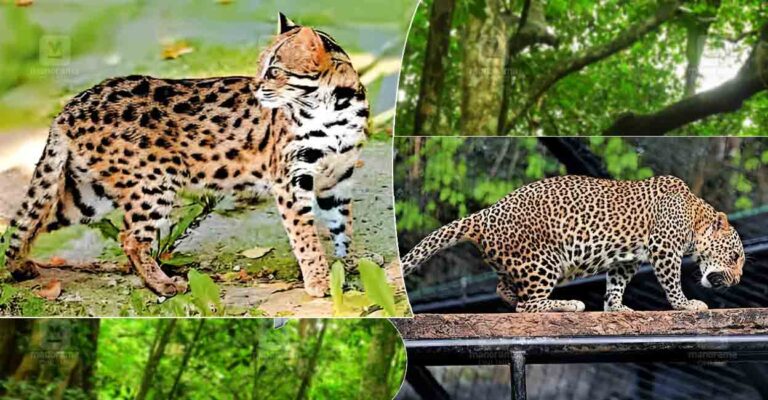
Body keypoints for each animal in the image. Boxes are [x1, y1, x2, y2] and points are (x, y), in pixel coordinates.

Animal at [1, 13, 369, 298]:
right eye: (259, 67)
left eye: (275, 71)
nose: (254, 88)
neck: (336, 108)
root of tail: (69, 107)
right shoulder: (291, 178)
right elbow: (306, 236)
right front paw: (319, 282)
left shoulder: (338, 176)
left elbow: (342, 226)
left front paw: (352, 265)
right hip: (153, 183)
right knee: (129, 238)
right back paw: (163, 284)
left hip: (89, 195)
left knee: (32, 220)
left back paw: (19, 266)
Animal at [401, 175, 745, 313]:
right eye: (735, 257)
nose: (738, 279)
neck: (695, 214)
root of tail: (484, 215)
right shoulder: (664, 247)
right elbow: (672, 283)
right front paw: (686, 304)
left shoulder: (627, 260)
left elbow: (616, 284)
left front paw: (617, 308)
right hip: (544, 261)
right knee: (529, 305)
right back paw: (568, 304)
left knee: (505, 291)